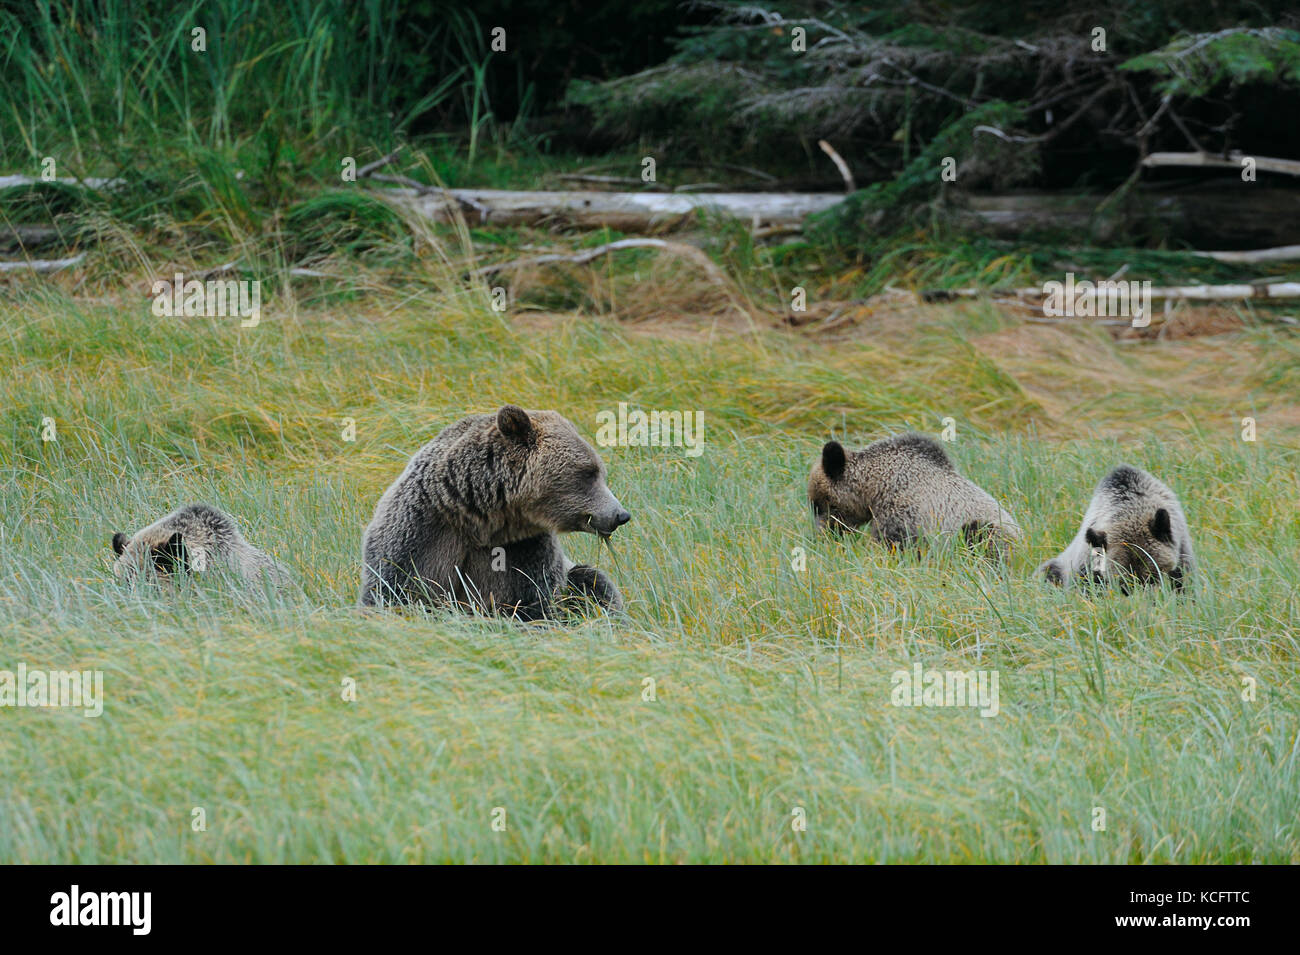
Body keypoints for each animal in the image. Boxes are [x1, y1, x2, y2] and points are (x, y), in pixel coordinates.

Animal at [358, 405, 631, 621]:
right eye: (589, 473)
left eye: (599, 471)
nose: (621, 515)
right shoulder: (421, 532)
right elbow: (396, 591)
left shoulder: (525, 549)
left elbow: (532, 601)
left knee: (591, 581)